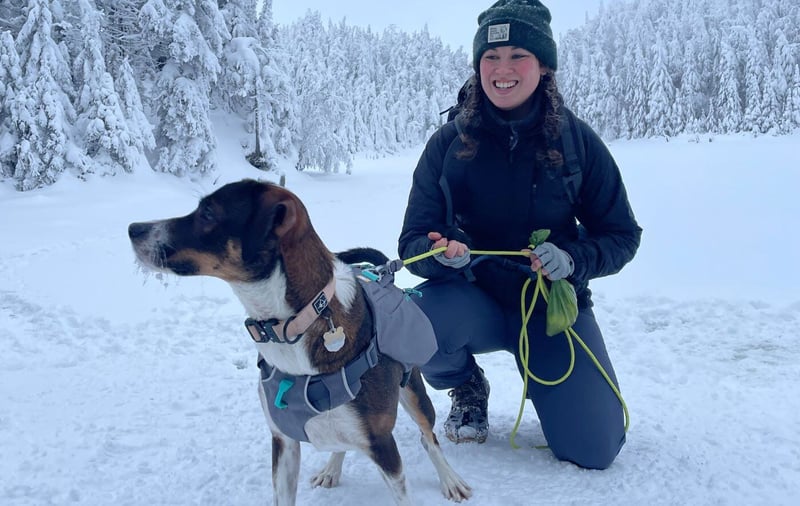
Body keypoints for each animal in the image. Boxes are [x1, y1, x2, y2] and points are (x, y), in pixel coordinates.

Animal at [128, 180, 472, 504]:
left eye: (208, 212)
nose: (133, 229)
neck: (294, 325)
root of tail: (384, 278)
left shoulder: (383, 446)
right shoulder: (284, 442)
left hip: (412, 391)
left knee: (428, 437)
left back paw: (450, 479)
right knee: (342, 444)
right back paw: (332, 468)